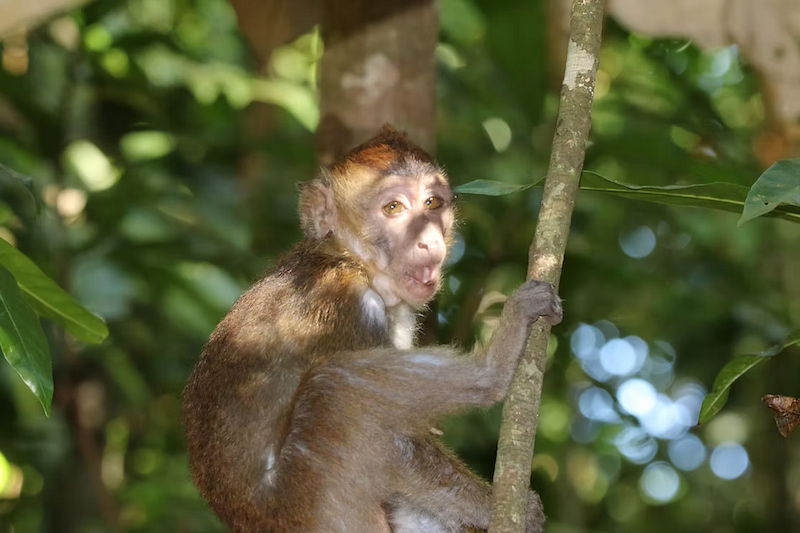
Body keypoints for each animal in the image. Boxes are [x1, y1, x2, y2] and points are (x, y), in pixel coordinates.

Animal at [182, 126, 562, 533]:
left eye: (432, 203)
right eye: (393, 208)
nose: (428, 240)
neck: (348, 258)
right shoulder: (346, 302)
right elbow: (405, 450)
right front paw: (501, 509)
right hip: (319, 497)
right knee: (337, 386)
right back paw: (493, 369)